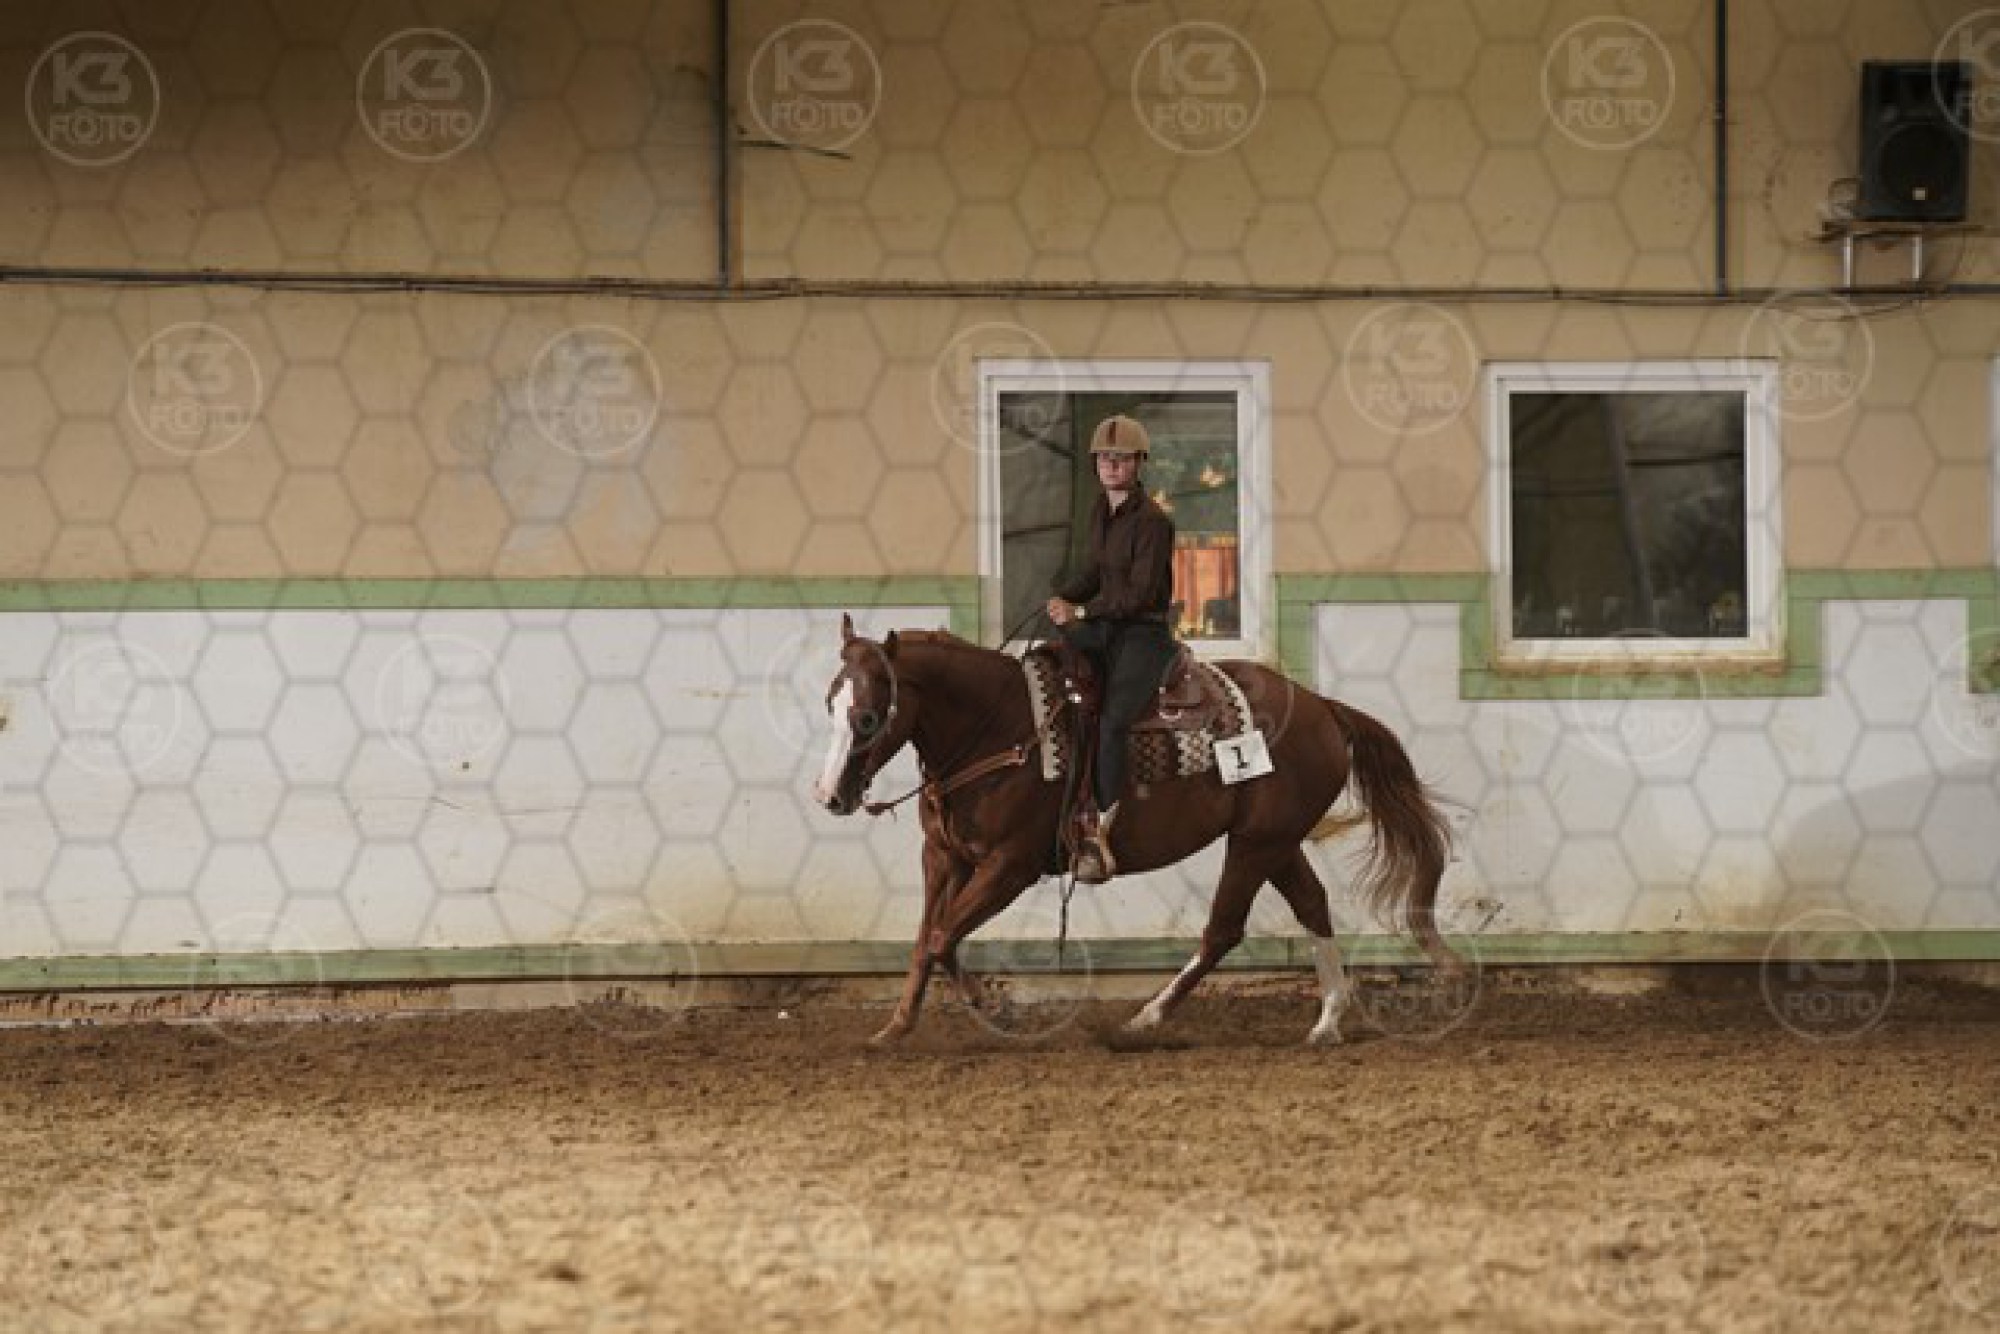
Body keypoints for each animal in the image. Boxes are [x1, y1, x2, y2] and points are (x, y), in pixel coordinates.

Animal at [812, 615, 1462, 1045]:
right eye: (829, 704)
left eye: (866, 716)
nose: (830, 796)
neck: (1000, 729)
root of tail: (1322, 707)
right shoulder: (944, 857)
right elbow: (927, 940)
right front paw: (896, 1026)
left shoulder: (1009, 867)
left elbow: (943, 936)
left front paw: (996, 1011)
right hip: (1274, 842)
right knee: (1311, 904)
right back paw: (1327, 1020)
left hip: (1255, 845)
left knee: (1223, 931)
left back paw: (1145, 1018)